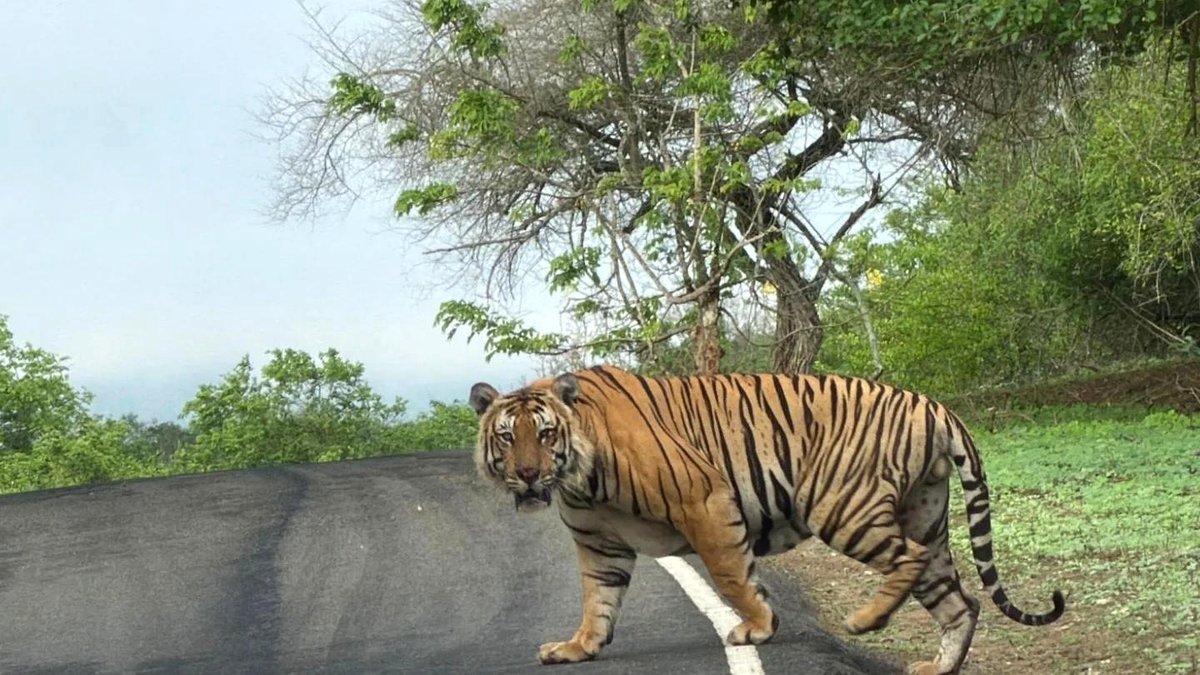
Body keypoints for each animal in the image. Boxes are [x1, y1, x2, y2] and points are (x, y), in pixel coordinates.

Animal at [468, 365, 1065, 674]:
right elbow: (598, 599)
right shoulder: (599, 542)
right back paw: (937, 667)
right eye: (508, 437)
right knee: (958, 600)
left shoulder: (704, 500)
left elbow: (732, 576)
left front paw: (757, 626)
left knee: (911, 561)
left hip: (841, 505)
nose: (527, 475)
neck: (579, 478)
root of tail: (935, 405)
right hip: (925, 514)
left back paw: (865, 621)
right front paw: (579, 647)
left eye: (546, 434)